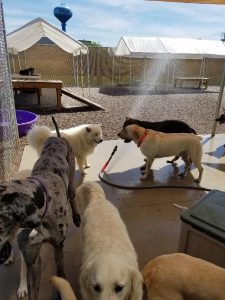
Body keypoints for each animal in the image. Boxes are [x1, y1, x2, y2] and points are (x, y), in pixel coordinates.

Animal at [0, 116, 80, 300]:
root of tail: (57, 137)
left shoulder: (58, 246)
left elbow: (61, 274)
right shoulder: (33, 258)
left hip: (71, 182)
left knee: (72, 197)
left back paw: (77, 217)